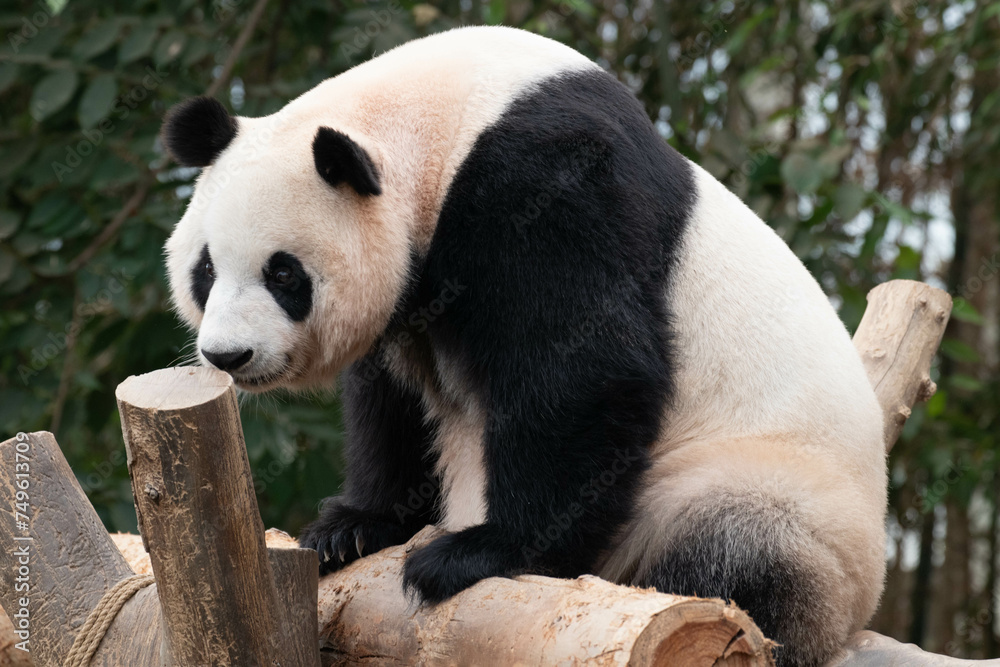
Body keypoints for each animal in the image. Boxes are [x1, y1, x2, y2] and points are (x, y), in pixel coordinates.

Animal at [162, 26, 887, 666]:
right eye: (206, 269)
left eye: (284, 274)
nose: (228, 356)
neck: (438, 123)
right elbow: (390, 400)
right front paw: (351, 527)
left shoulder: (549, 182)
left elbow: (582, 368)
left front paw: (477, 553)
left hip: (759, 488)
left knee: (729, 554)